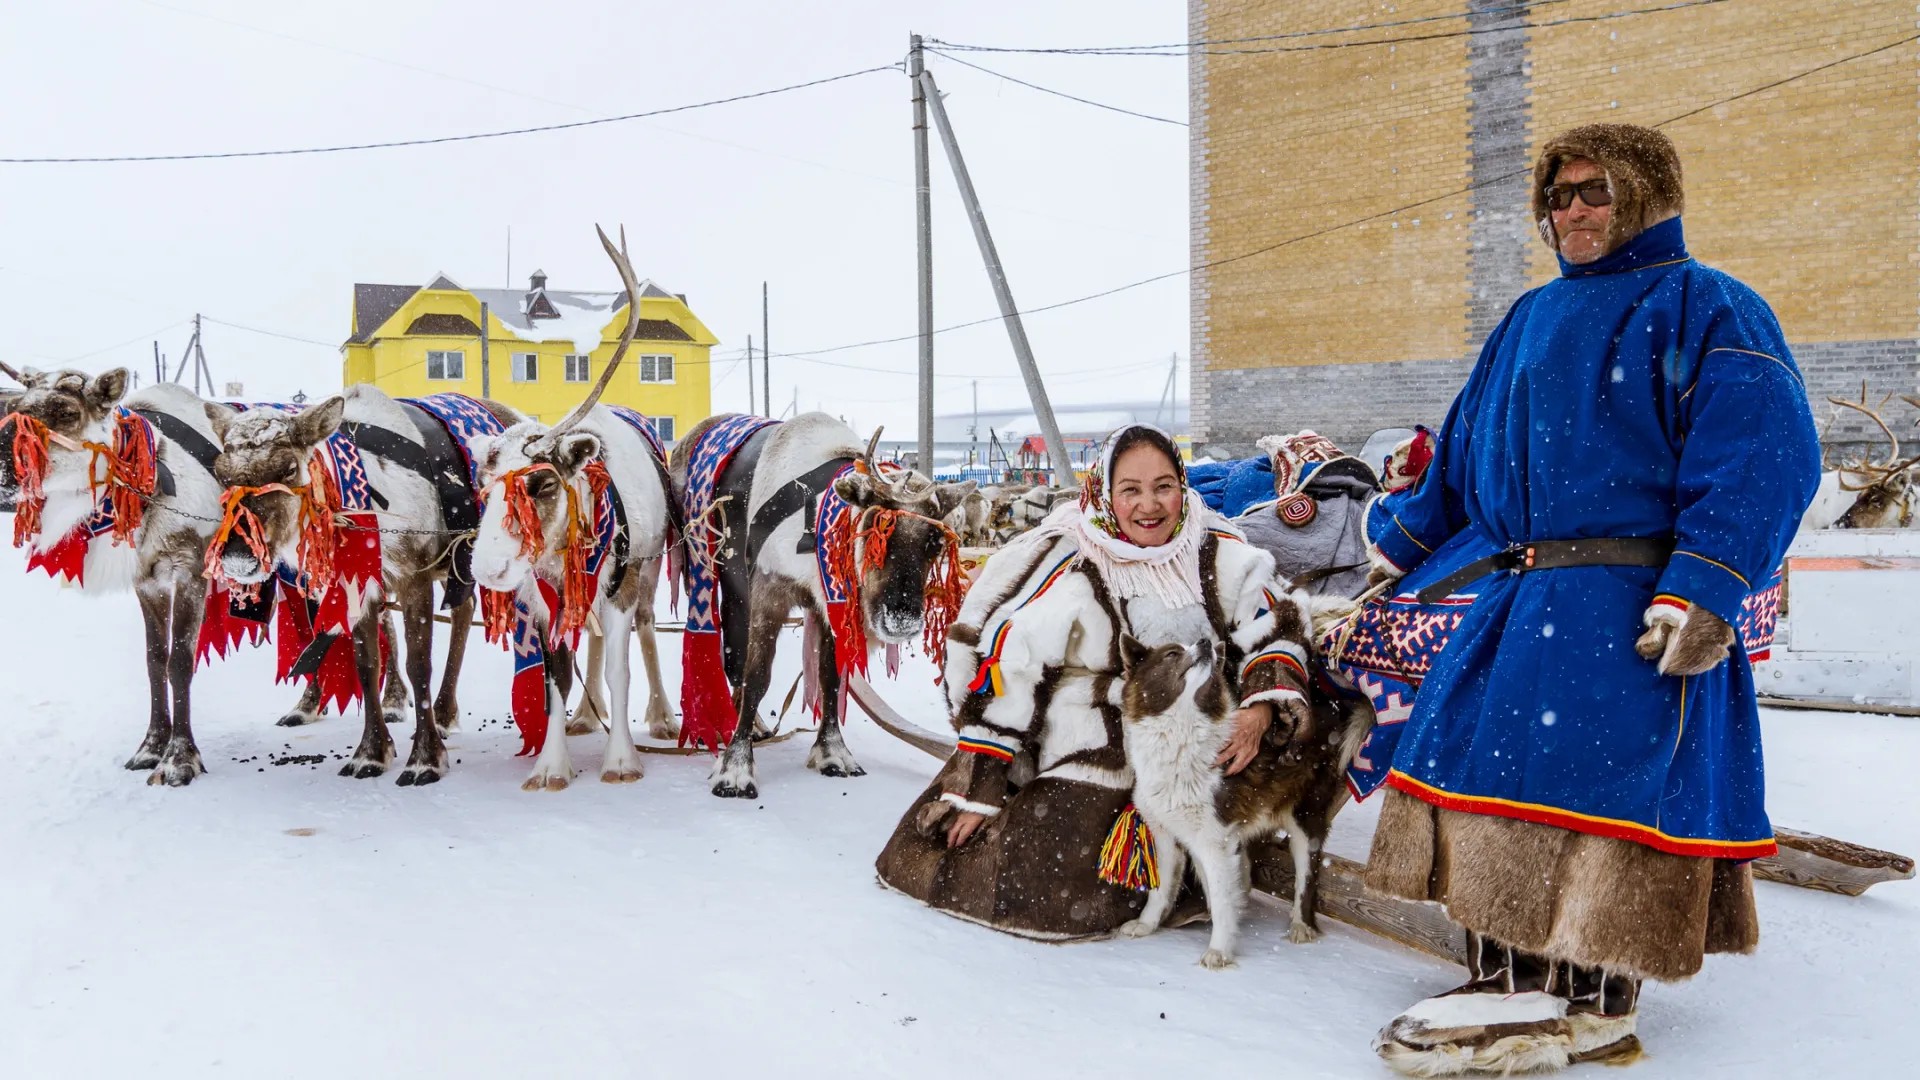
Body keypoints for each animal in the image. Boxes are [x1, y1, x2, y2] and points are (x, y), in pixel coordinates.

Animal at [1113, 630, 1367, 968]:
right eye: (1171, 654)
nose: (1206, 643)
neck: (1181, 739)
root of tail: (1331, 707)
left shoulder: (1215, 840)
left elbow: (1222, 899)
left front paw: (1219, 950)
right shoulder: (1168, 836)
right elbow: (1163, 889)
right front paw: (1147, 924)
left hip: (1305, 819)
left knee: (1307, 873)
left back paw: (1301, 924)